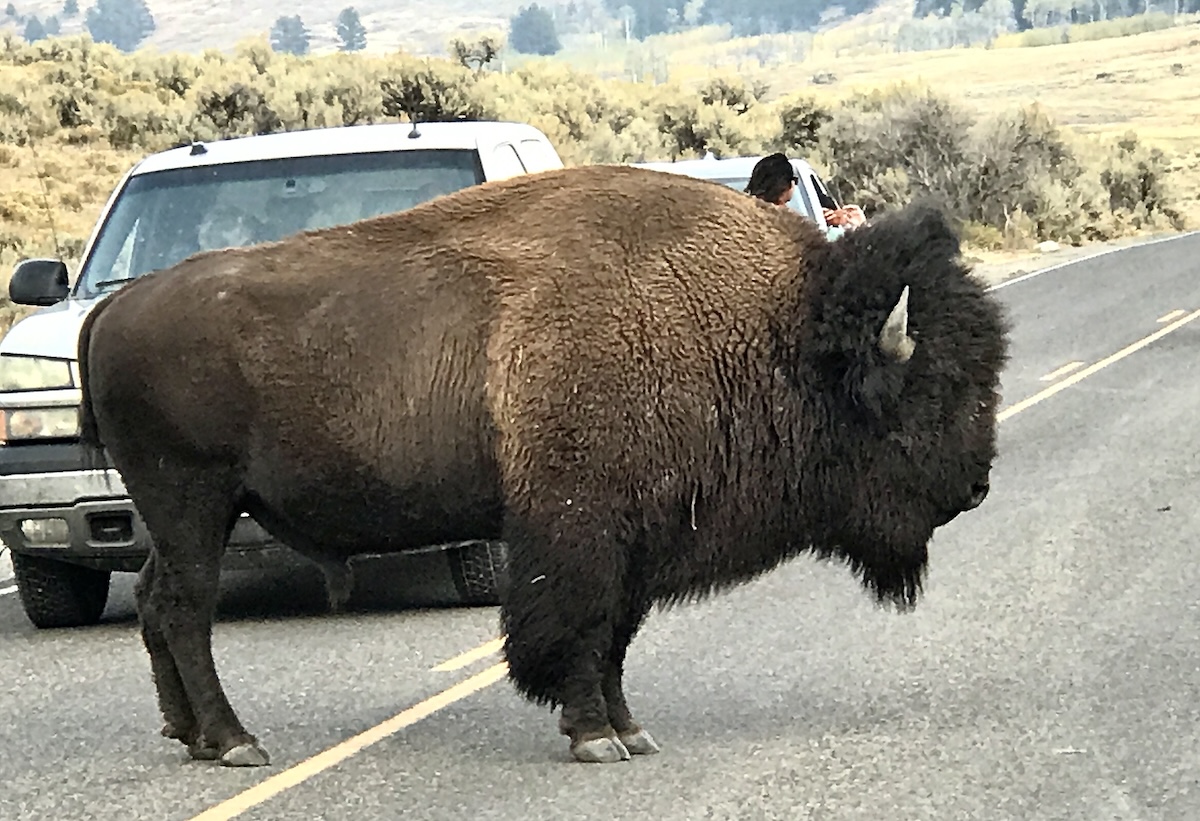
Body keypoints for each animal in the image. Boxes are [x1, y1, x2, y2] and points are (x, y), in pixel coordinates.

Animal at [77, 163, 1009, 767]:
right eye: (935, 384)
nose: (976, 486)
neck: (777, 326)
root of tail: (112, 309)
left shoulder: (637, 544)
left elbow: (615, 640)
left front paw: (630, 731)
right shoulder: (579, 535)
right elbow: (575, 631)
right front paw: (595, 737)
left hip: (182, 513)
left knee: (158, 604)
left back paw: (193, 738)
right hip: (194, 499)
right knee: (186, 610)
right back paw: (238, 742)